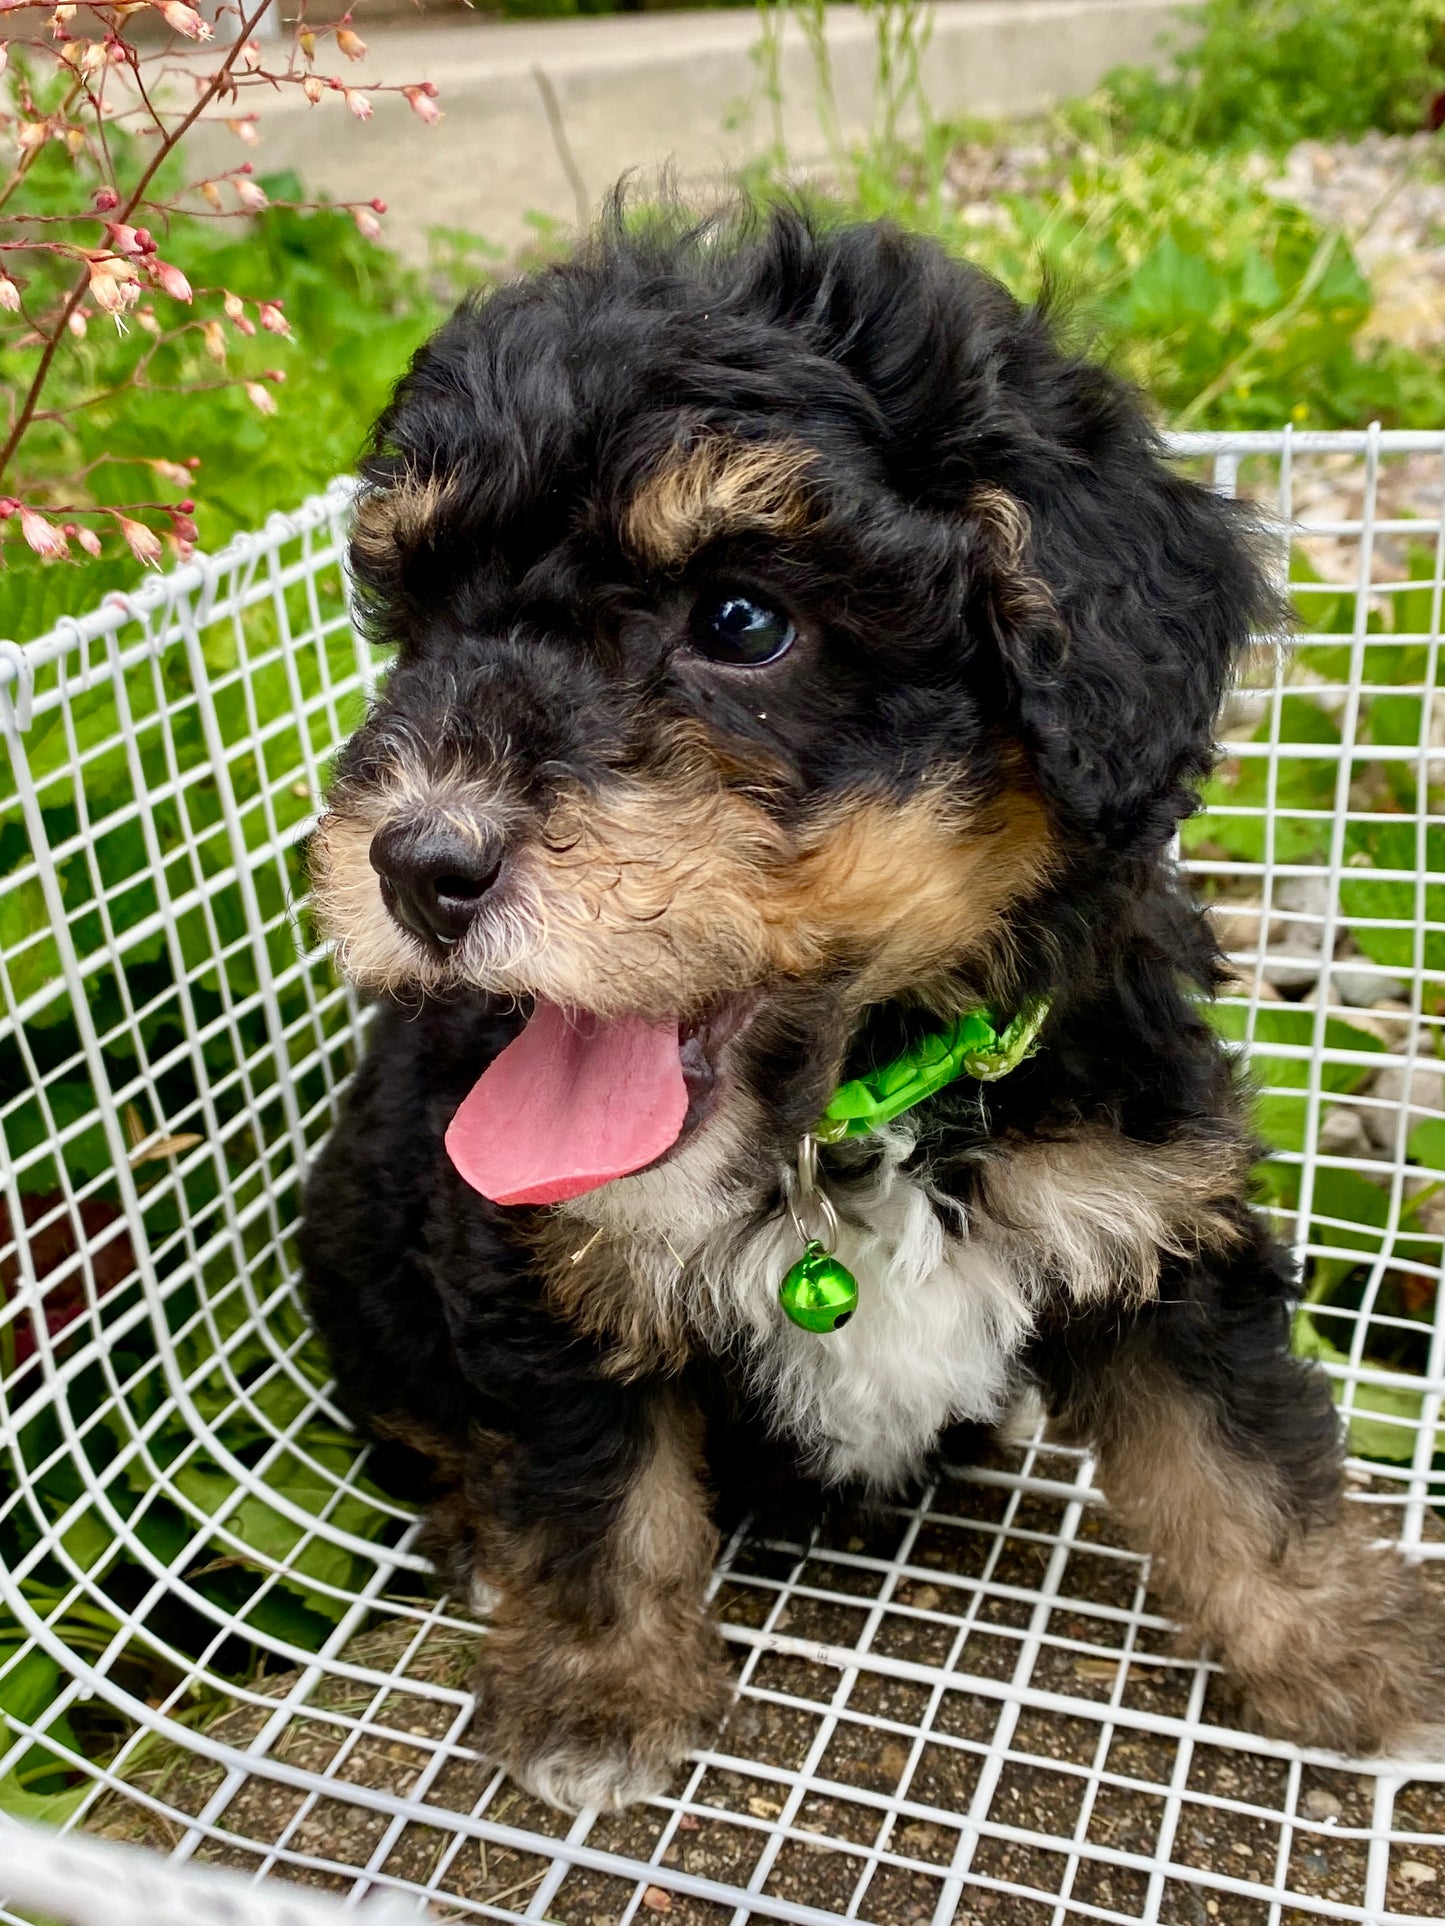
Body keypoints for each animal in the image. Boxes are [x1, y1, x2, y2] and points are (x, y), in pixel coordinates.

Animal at [296, 207, 1445, 1802]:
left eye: (741, 619)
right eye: (419, 627)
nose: (416, 862)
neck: (852, 1106)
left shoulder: (1151, 1204)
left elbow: (1240, 1448)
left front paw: (1351, 1647)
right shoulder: (534, 1261)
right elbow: (584, 1477)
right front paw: (595, 1692)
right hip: (359, 1243)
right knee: (422, 1413)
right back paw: (472, 1532)